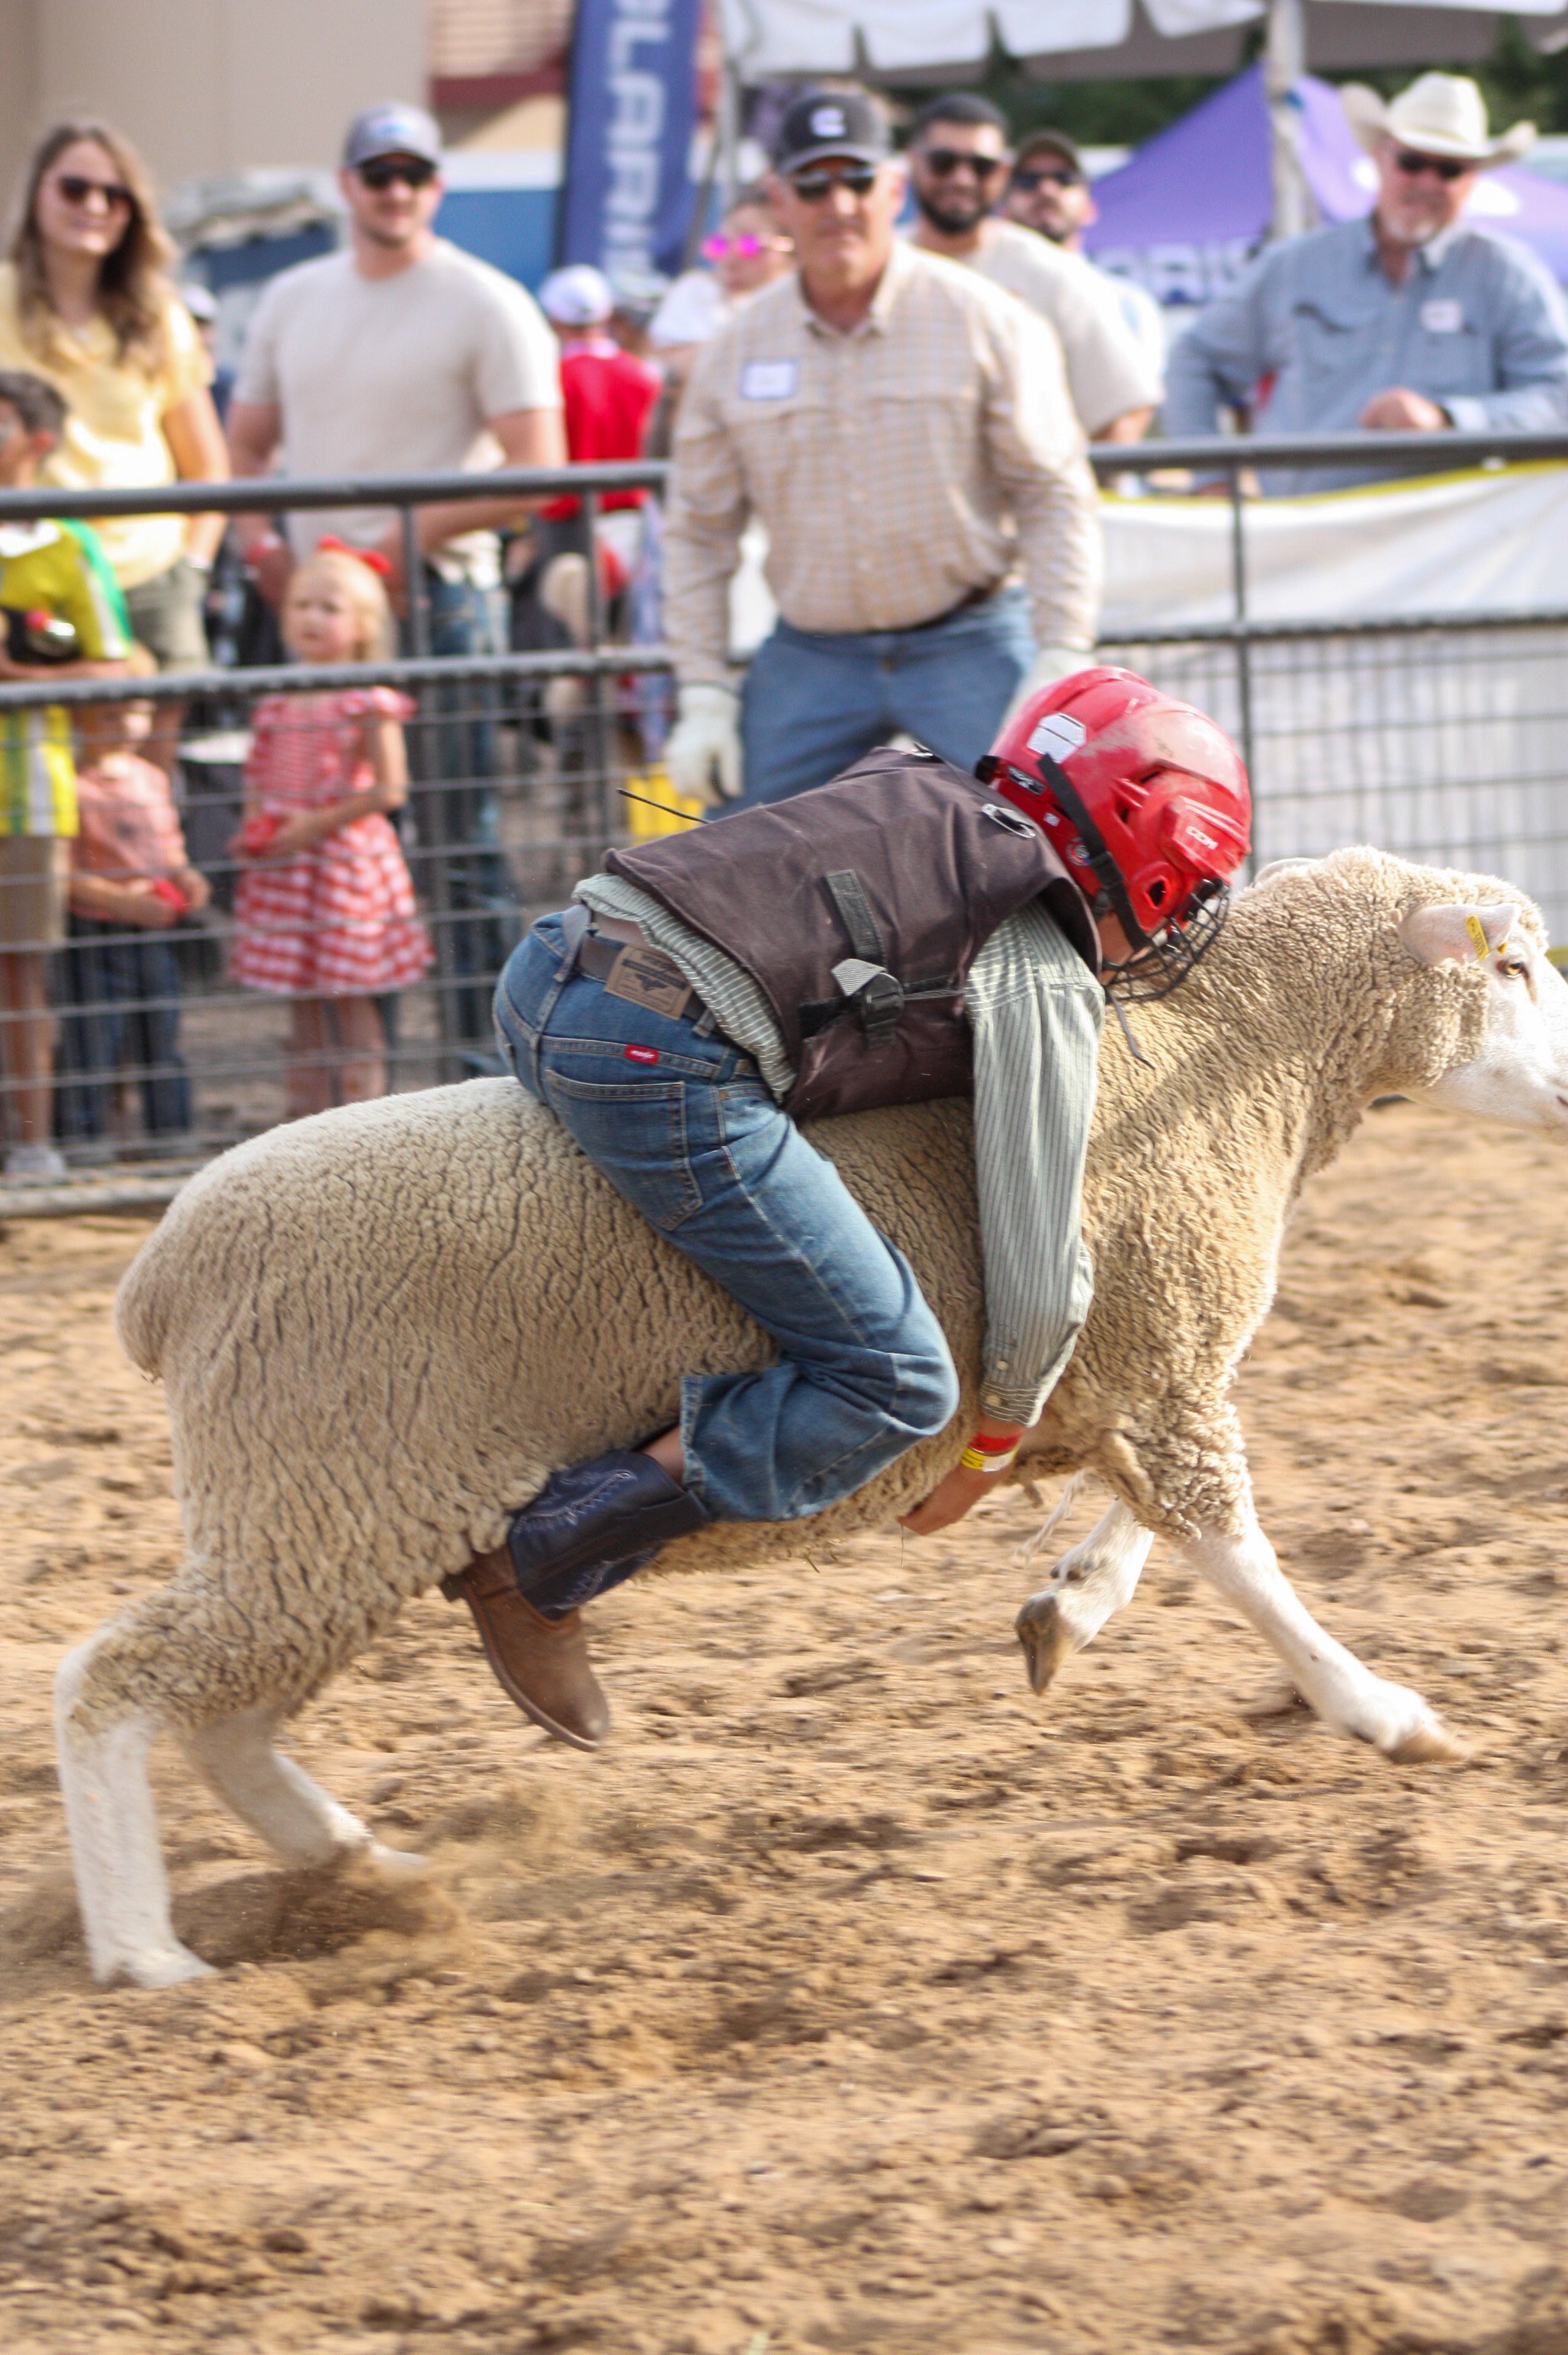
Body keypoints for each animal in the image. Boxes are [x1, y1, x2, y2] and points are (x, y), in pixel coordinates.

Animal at [53, 848, 1568, 1989]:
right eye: (1507, 966)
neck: (1232, 1052)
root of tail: (156, 1277)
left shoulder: (1139, 1367)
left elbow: (1147, 1527)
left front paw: (1066, 1605)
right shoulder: (1159, 1351)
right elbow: (1241, 1556)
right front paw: (1381, 1711)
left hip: (336, 1513)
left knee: (225, 1720)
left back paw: (368, 1864)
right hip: (325, 1500)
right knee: (111, 1682)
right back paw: (144, 1952)